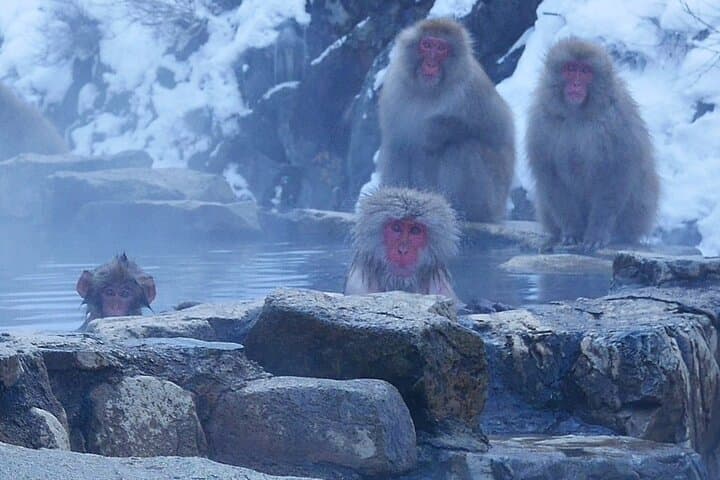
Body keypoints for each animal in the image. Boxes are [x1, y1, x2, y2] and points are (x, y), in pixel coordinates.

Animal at [377, 18, 515, 223]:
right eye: (426, 45)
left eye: (442, 49)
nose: (430, 63)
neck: (429, 91)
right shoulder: (395, 89)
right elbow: (397, 144)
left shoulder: (474, 88)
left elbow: (499, 137)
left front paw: (436, 130)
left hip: (493, 200)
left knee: (464, 148)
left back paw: (465, 212)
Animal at [526, 37, 659, 251]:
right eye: (570, 68)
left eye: (585, 71)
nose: (576, 83)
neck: (577, 114)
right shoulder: (540, 122)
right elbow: (552, 176)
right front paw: (572, 232)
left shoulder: (619, 119)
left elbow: (616, 174)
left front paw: (596, 234)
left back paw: (621, 236)